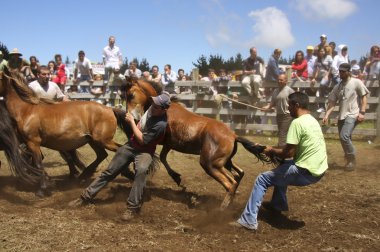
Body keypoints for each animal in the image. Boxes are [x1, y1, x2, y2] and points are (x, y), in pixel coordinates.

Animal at [123, 78, 274, 210]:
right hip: (224, 162)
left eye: (131, 95)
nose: (129, 116)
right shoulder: (169, 144)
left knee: (231, 183)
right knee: (239, 174)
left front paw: (176, 177)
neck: (164, 111)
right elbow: (163, 157)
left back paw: (222, 208)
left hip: (210, 164)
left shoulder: (162, 141)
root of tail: (233, 135)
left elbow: (161, 156)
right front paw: (177, 178)